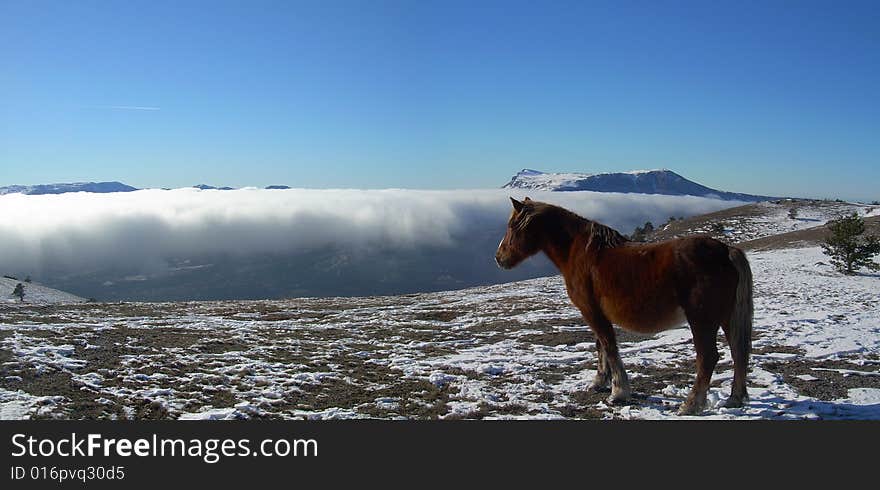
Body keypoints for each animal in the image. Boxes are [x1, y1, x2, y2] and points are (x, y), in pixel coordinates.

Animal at [492, 197, 752, 416]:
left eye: (513, 225)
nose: (498, 258)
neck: (580, 252)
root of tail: (726, 251)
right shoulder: (597, 313)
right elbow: (601, 346)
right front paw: (600, 382)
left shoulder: (591, 311)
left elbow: (609, 346)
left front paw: (618, 392)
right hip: (726, 318)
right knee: (738, 352)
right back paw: (735, 399)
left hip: (701, 320)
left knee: (708, 357)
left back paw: (691, 405)